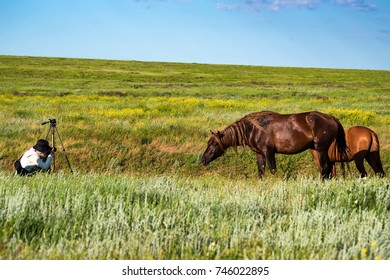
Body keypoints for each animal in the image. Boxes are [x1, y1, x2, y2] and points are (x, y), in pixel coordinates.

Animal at [201, 110, 348, 178]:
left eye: (214, 144)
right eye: (208, 142)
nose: (202, 160)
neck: (254, 129)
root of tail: (331, 118)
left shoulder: (269, 152)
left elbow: (272, 170)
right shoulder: (260, 154)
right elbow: (261, 172)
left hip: (320, 149)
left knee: (324, 168)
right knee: (329, 168)